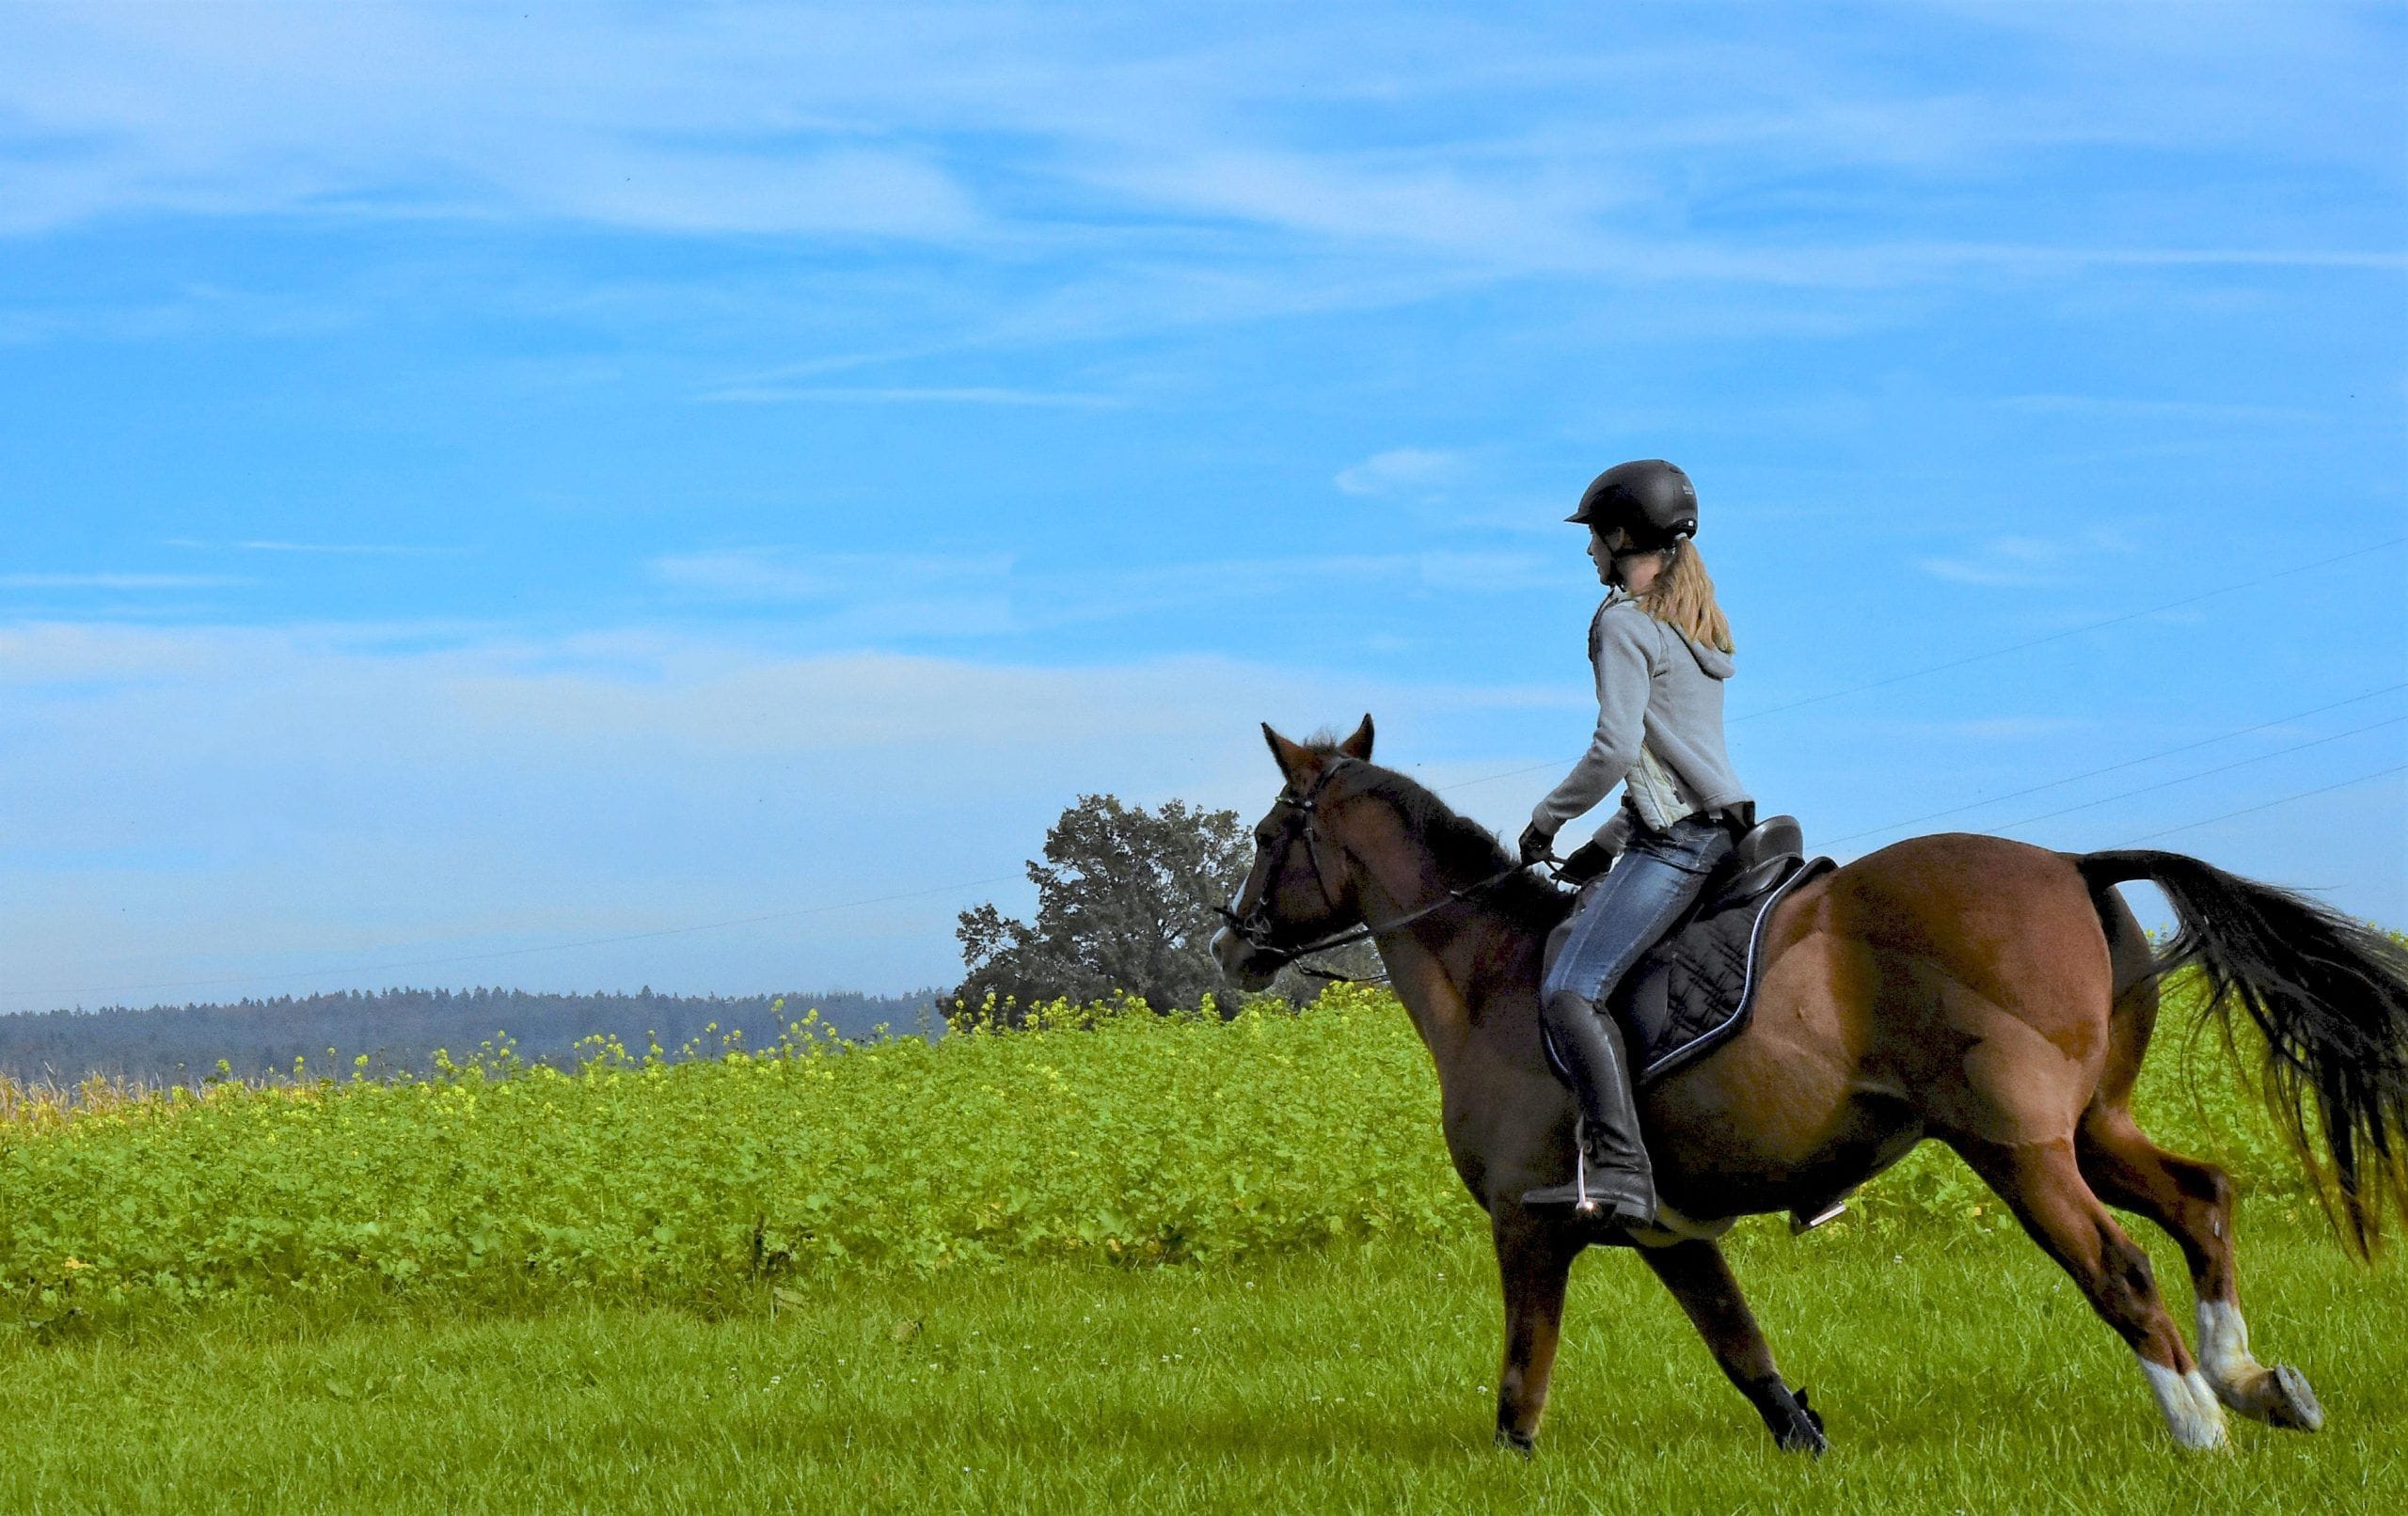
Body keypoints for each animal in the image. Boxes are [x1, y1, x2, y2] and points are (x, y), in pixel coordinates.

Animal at [1209, 716, 2408, 1454]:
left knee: (2117, 1265)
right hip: (2092, 1127)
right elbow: (1744, 1352)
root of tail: (2072, 864)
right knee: (2203, 1201)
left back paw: (2200, 1427)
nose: (1230, 944)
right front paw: (1803, 1440)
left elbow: (1520, 1382)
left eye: (1269, 833)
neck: (1491, 974)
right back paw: (2253, 1382)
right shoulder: (1670, 1233)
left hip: (2016, 1147)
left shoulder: (1527, 1225)